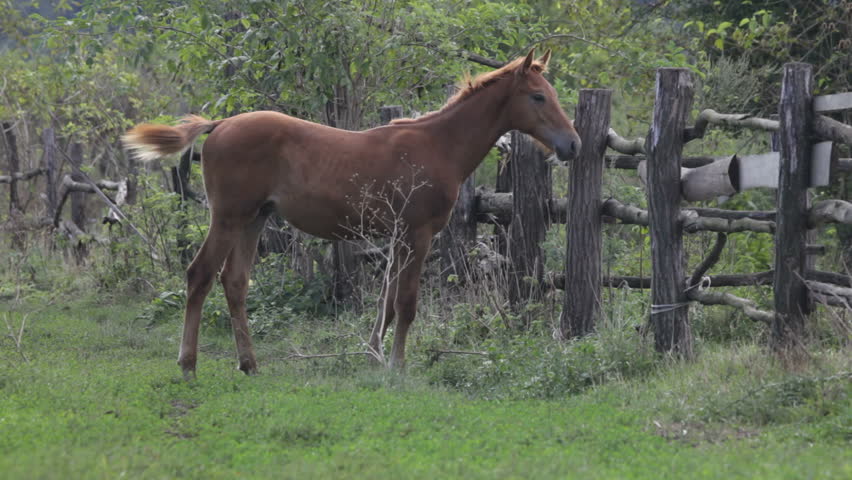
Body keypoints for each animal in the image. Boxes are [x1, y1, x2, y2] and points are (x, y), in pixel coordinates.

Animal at [123, 49, 581, 378]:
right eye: (538, 96)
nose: (573, 145)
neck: (438, 145)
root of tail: (218, 125)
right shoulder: (418, 234)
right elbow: (407, 303)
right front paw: (397, 367)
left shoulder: (397, 237)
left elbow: (388, 304)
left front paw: (376, 356)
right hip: (229, 216)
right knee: (199, 275)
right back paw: (188, 364)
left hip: (255, 219)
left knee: (234, 282)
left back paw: (249, 364)